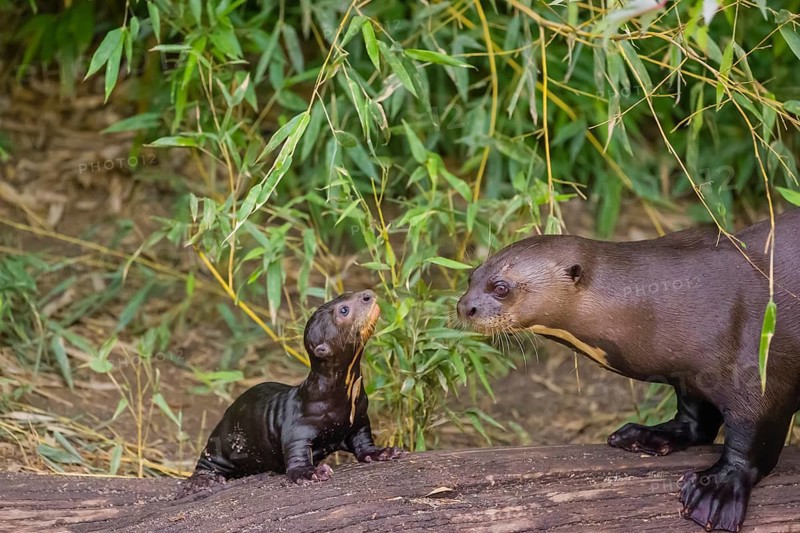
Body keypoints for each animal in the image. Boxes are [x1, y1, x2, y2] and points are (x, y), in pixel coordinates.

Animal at [178, 290, 404, 497]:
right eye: (344, 310)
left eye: (347, 293)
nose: (368, 294)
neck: (334, 400)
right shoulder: (297, 428)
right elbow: (296, 454)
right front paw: (309, 473)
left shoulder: (359, 418)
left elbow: (364, 442)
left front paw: (383, 452)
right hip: (222, 439)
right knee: (206, 459)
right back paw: (201, 481)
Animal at [457, 210, 800, 532]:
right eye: (471, 276)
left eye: (501, 287)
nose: (464, 307)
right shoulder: (688, 374)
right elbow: (695, 418)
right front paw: (651, 434)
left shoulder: (759, 367)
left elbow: (753, 437)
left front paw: (717, 490)